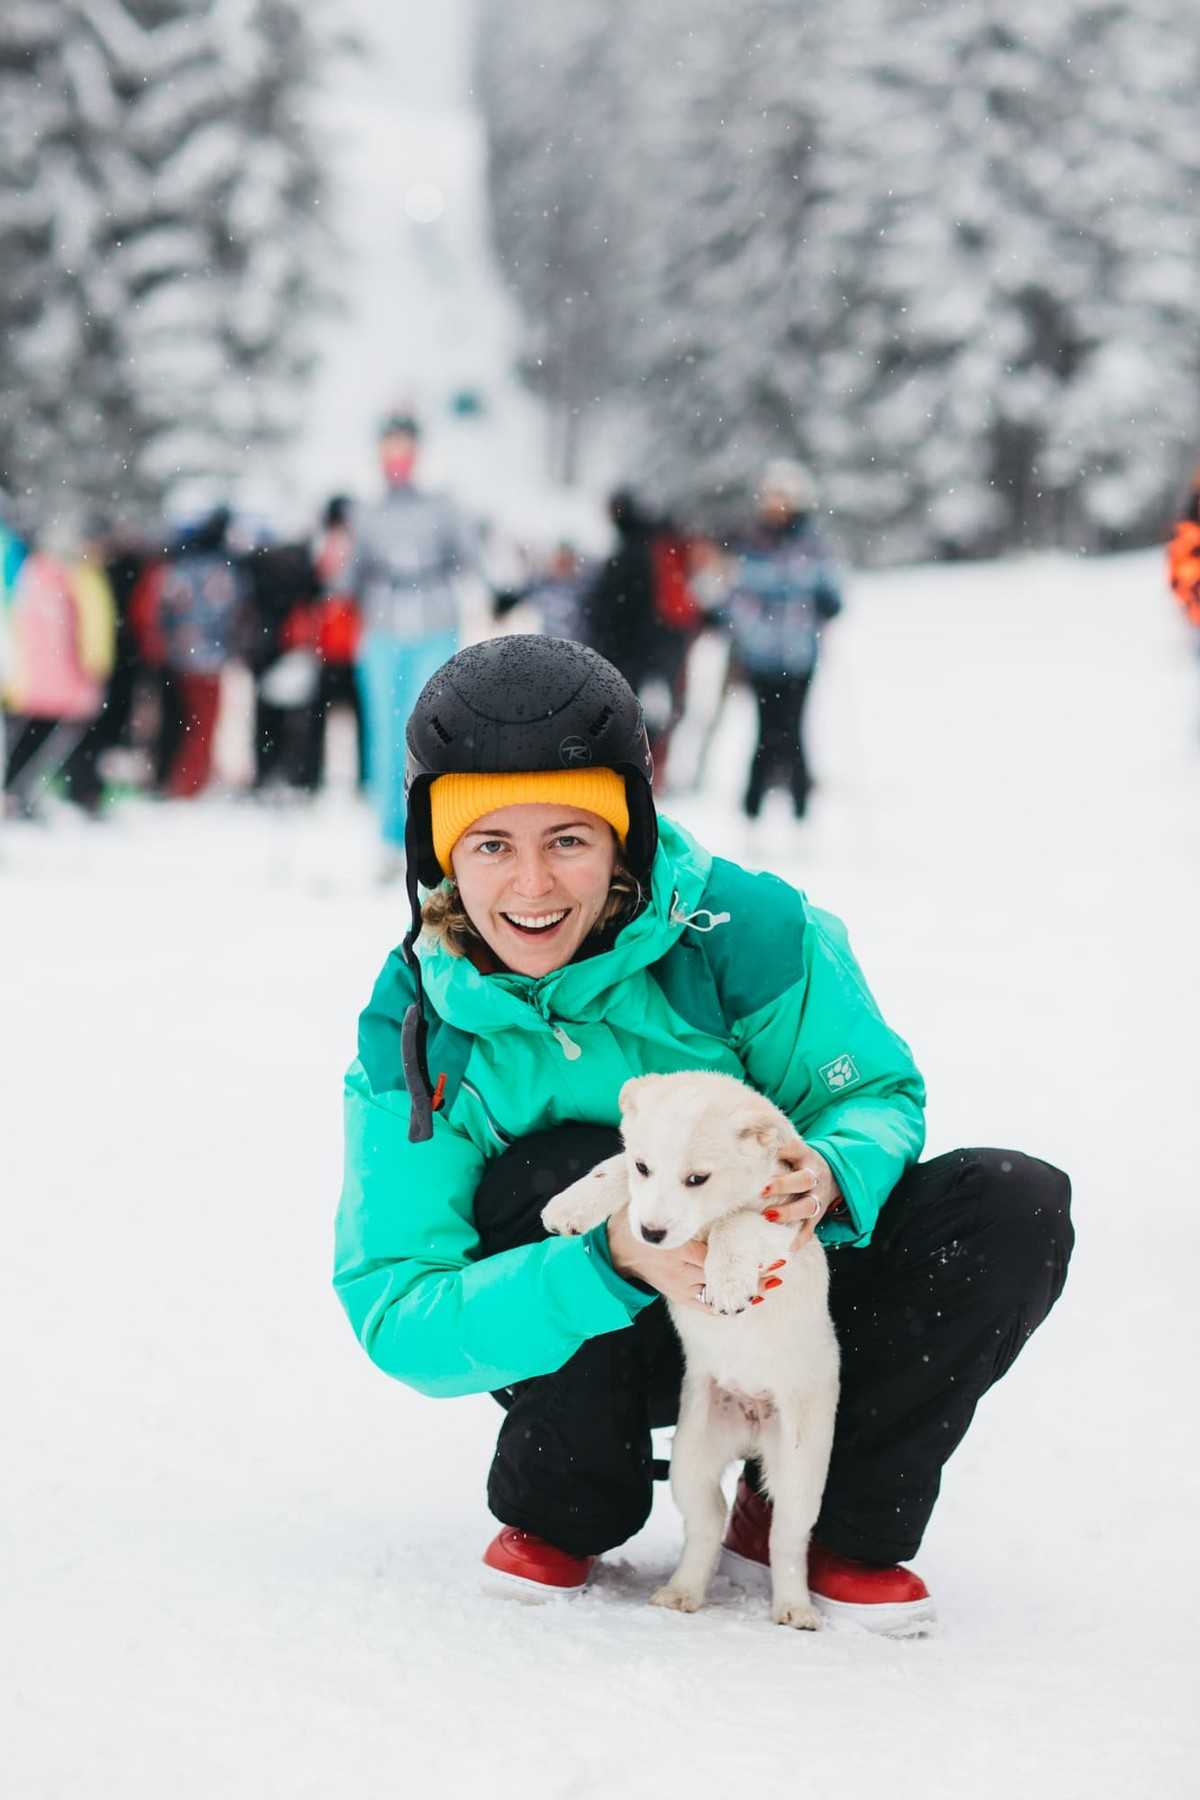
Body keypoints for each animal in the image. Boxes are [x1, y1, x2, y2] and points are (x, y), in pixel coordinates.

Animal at [539, 1065, 841, 1634]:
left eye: (697, 1179)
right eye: (646, 1166)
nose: (651, 1233)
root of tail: (751, 1425)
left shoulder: (782, 1219)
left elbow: (737, 1223)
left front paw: (727, 1283)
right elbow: (612, 1167)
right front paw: (572, 1205)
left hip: (800, 1462)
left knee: (787, 1537)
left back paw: (794, 1607)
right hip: (690, 1457)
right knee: (707, 1523)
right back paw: (681, 1593)